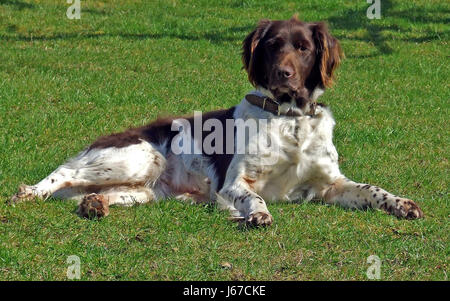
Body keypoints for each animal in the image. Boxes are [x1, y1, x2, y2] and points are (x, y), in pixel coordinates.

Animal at [11, 15, 426, 224]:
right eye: (273, 45)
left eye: (304, 48)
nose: (283, 74)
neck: (290, 120)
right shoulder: (235, 182)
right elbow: (252, 196)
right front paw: (257, 214)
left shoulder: (329, 185)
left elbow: (372, 189)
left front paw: (401, 203)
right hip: (141, 155)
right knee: (61, 174)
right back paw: (29, 193)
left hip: (145, 189)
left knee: (92, 192)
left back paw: (94, 204)